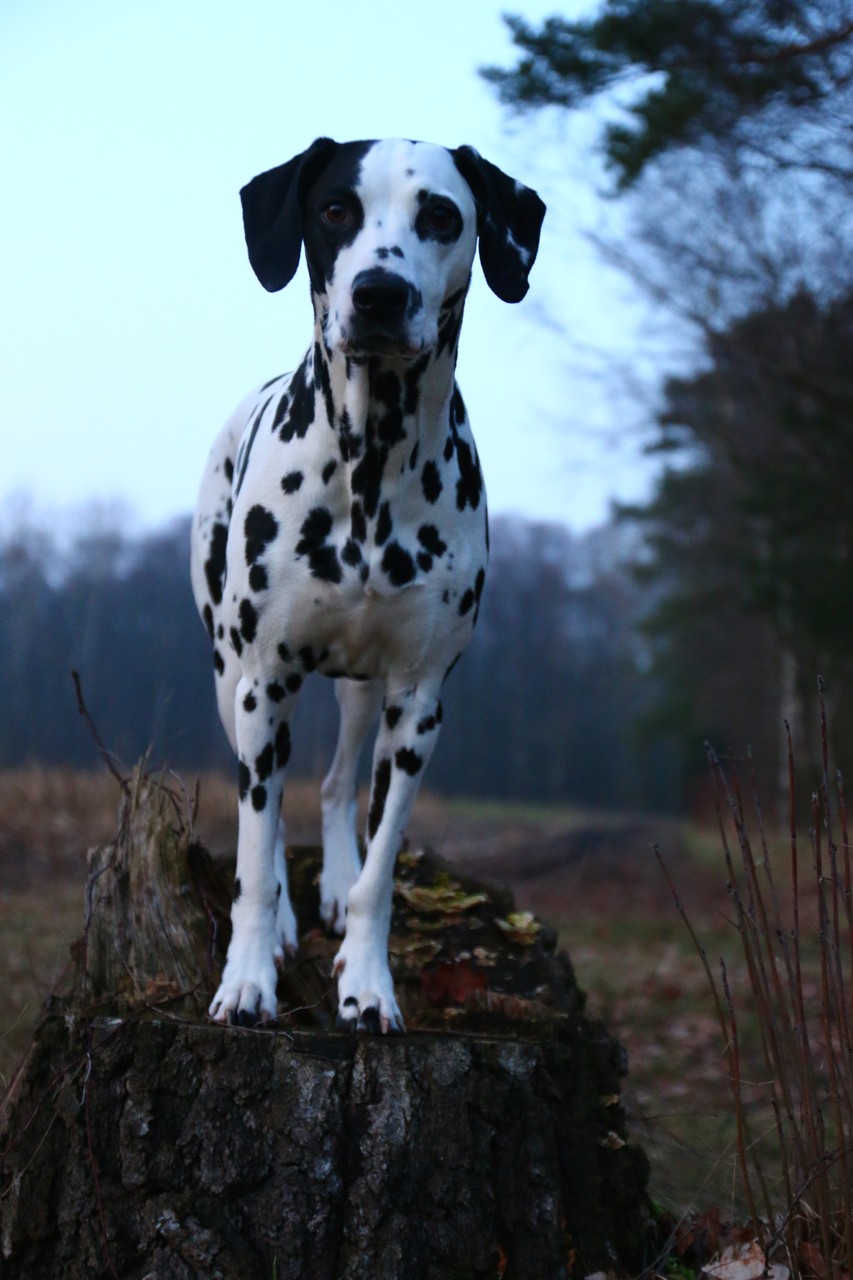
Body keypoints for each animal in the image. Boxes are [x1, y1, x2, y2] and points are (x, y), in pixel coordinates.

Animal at [189, 137, 540, 1029]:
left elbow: (382, 868)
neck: (372, 464)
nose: (378, 292)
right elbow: (253, 852)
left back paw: (334, 883)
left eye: (441, 216)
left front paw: (367, 981)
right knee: (269, 808)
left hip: (358, 689)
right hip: (230, 677)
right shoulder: (264, 679)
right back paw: (282, 915)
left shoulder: (418, 702)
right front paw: (247, 978)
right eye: (334, 210)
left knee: (337, 783)